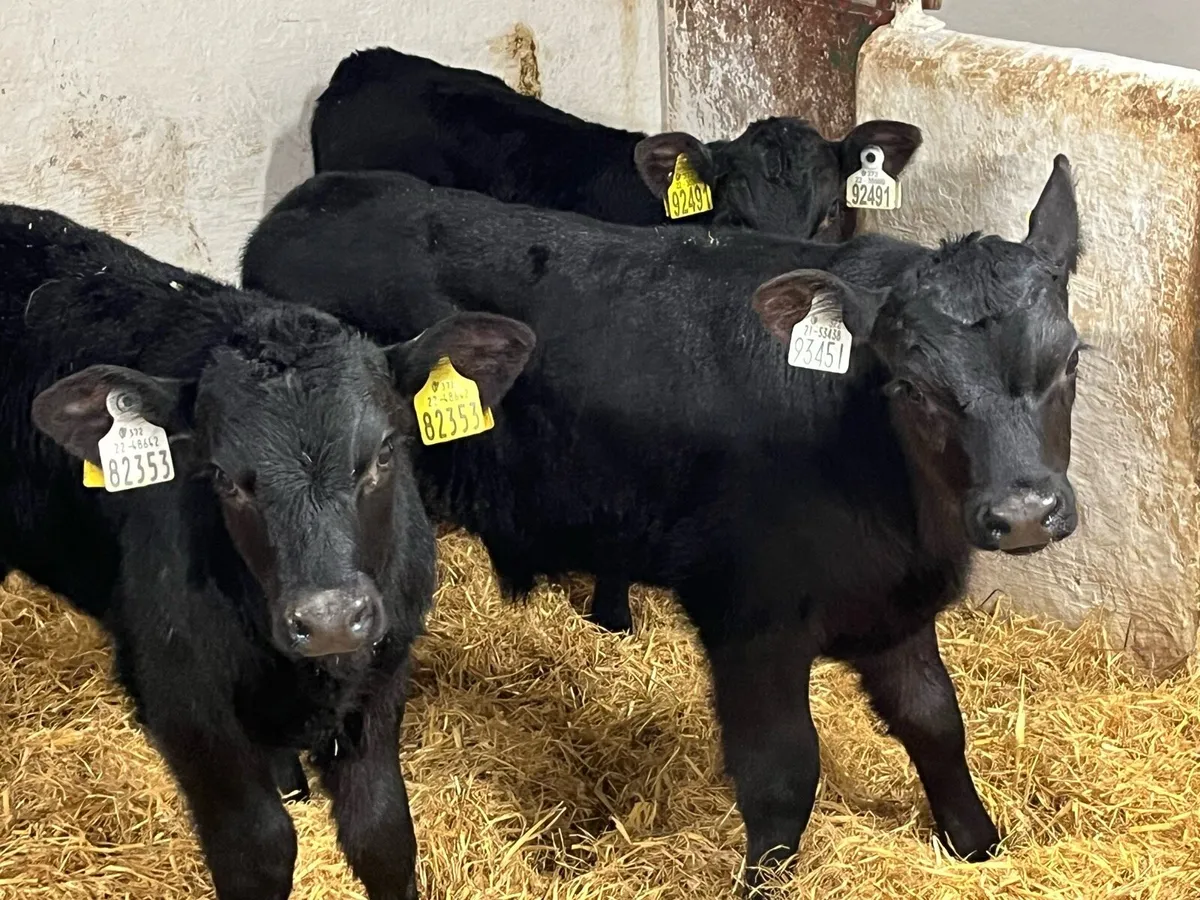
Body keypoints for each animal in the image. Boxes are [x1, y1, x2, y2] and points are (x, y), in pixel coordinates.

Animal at [0, 205, 534, 900]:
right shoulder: (186, 703)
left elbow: (383, 833)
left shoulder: (385, 672)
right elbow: (259, 850)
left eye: (384, 452)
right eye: (224, 477)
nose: (330, 619)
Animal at [242, 155, 1083, 893]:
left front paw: (977, 843)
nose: (1024, 513)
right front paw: (763, 886)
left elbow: (937, 723)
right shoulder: (749, 619)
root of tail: (305, 202)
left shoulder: (892, 605)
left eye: (1071, 360)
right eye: (912, 386)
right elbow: (782, 775)